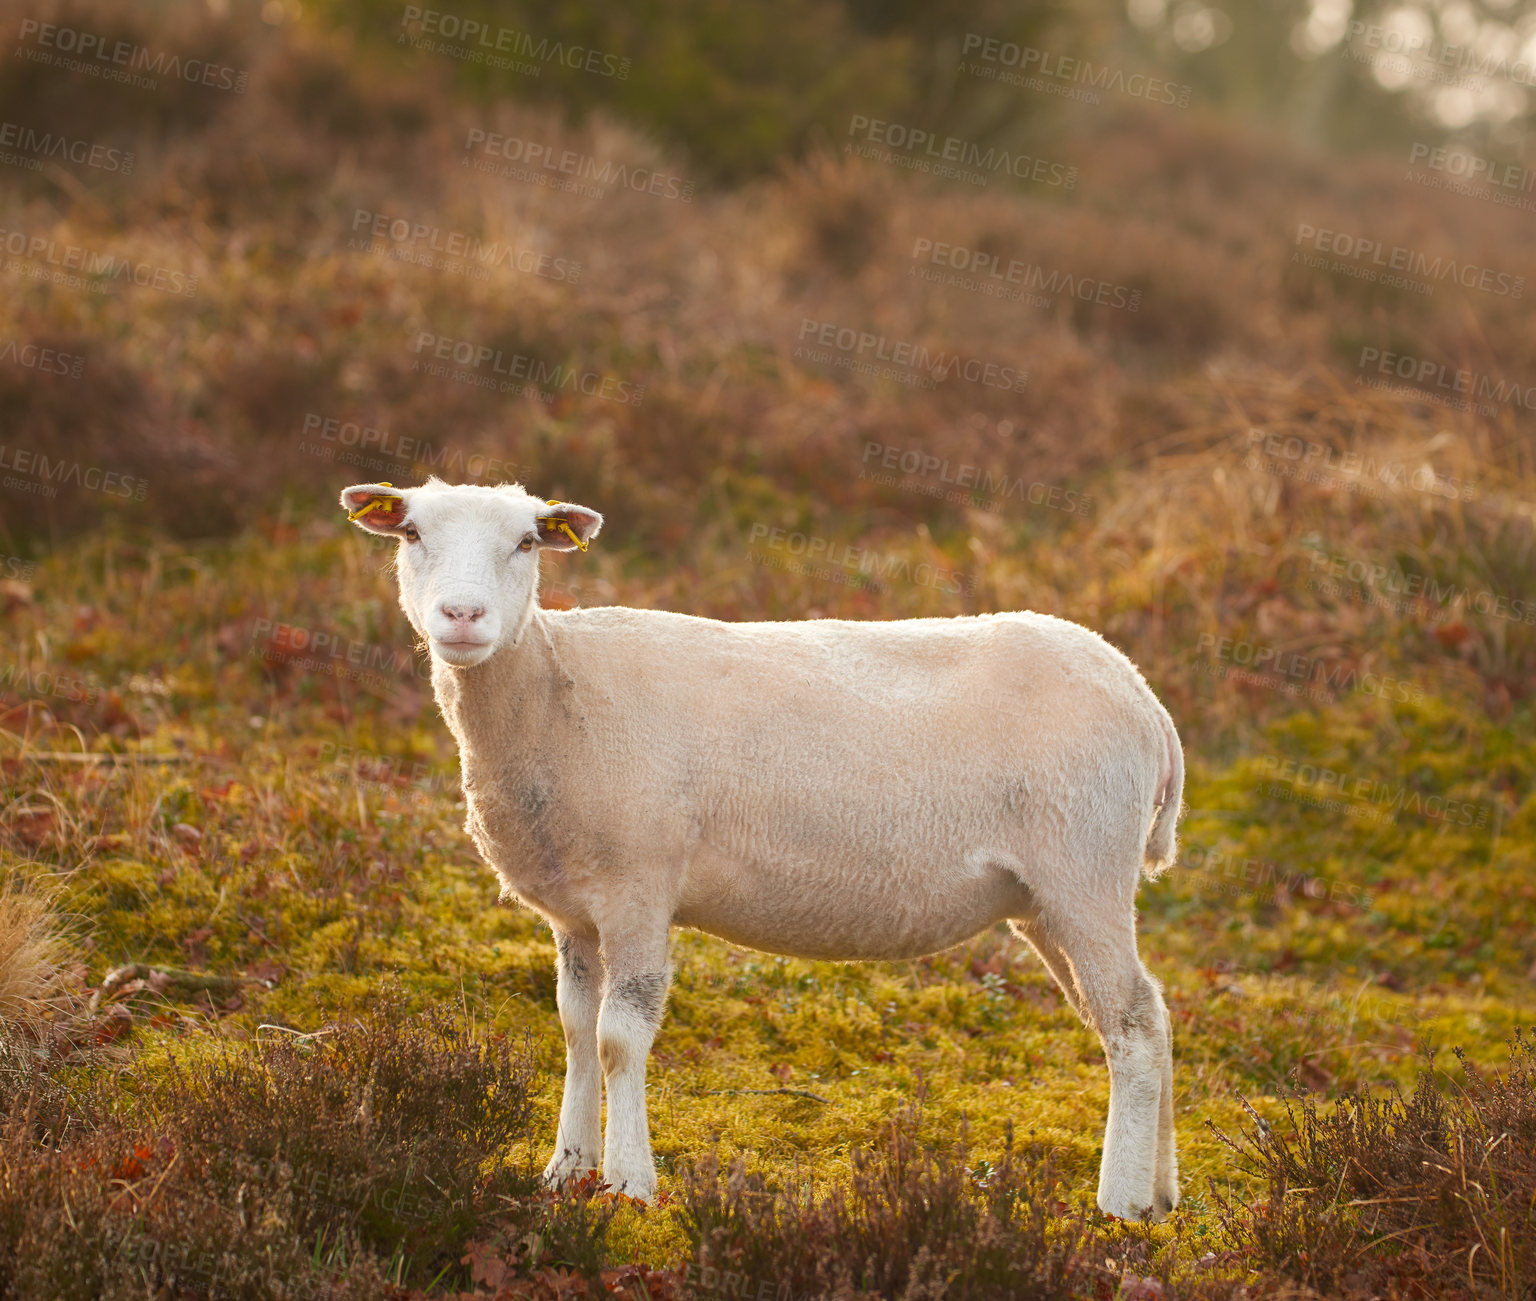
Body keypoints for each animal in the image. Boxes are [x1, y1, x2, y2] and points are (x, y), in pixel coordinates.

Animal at [342, 476, 1185, 1222]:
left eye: (525, 541)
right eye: (411, 533)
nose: (462, 614)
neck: (555, 687)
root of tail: (1146, 698)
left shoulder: (639, 886)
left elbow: (619, 1038)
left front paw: (629, 1183)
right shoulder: (575, 910)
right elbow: (576, 1030)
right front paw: (566, 1169)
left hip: (1084, 867)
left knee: (1133, 1024)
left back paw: (1118, 1203)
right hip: (1045, 897)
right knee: (1147, 1011)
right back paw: (1161, 1195)